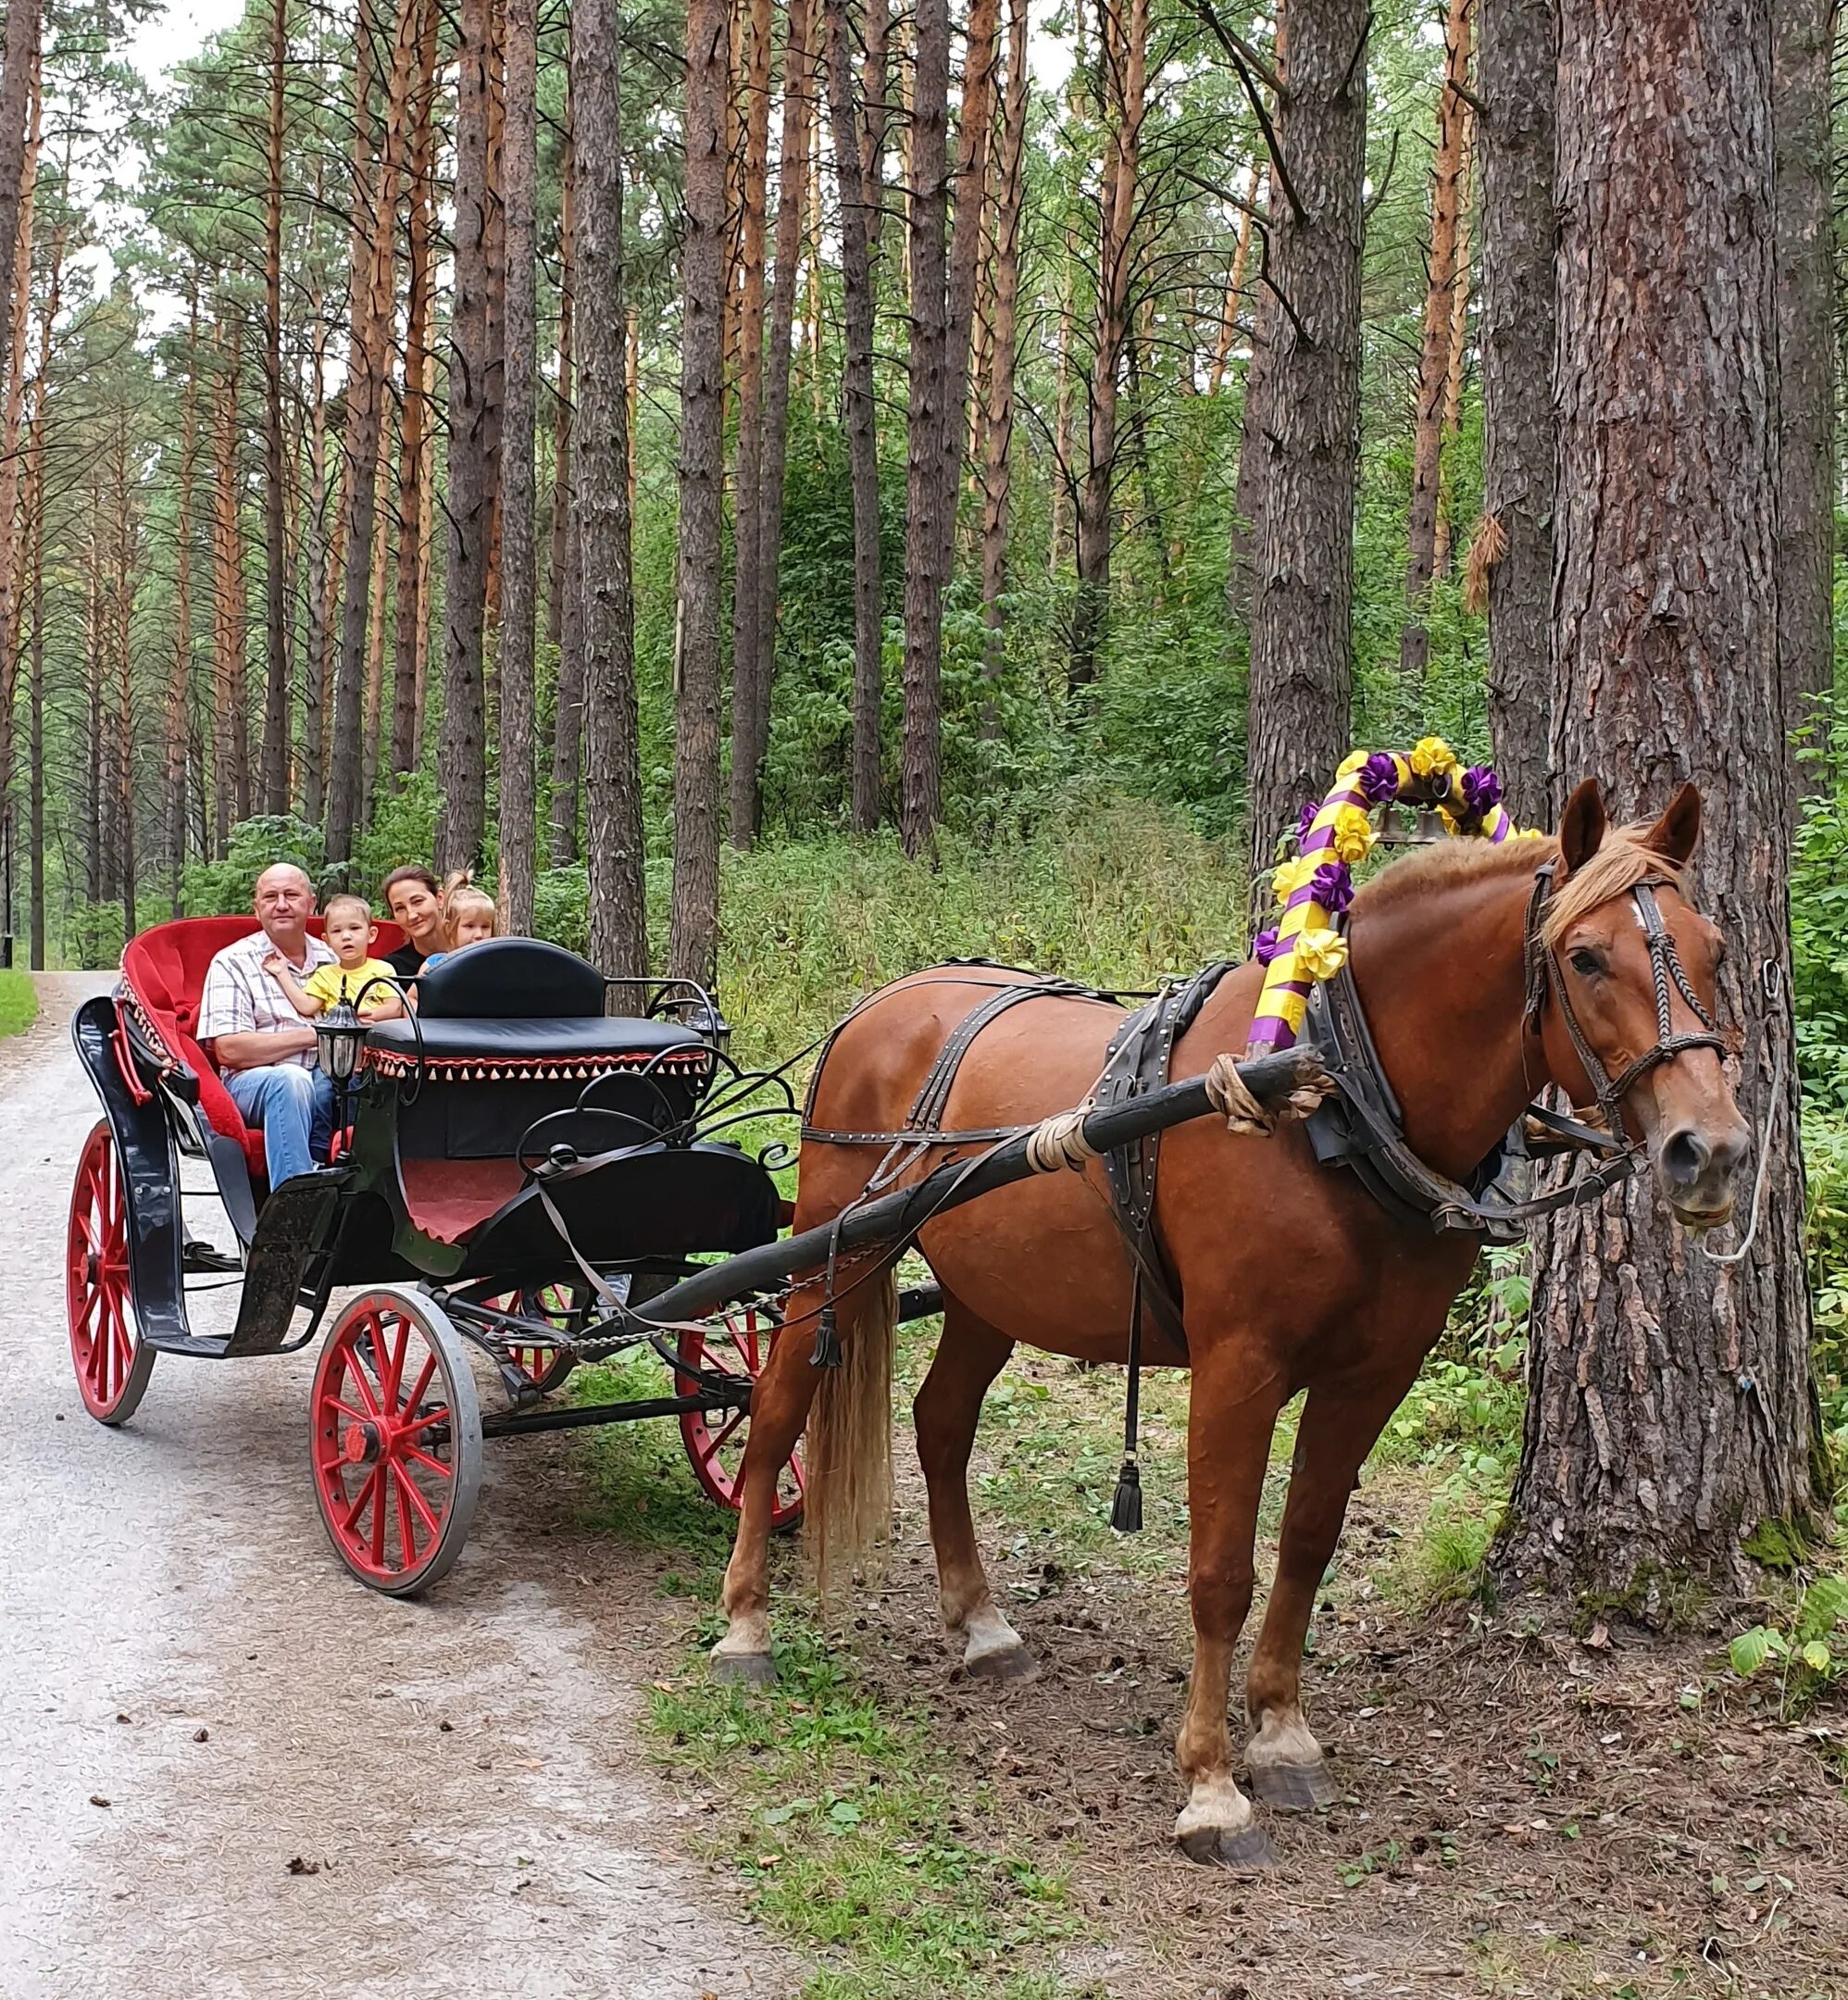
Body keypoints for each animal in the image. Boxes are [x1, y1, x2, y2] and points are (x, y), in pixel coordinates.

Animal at [704, 780, 1743, 1856]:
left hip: (988, 1291)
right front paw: (1209, 1784)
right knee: (775, 1413)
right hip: (829, 1255)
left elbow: (1306, 1544)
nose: (1708, 1151)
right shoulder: (1238, 1367)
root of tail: (878, 1006)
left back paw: (981, 1628)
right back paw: (744, 1627)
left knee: (940, 1425)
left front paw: (1281, 1735)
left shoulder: (1375, 1374)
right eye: (1585, 958)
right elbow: (1220, 1572)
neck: (1332, 1101)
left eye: (1714, 949)